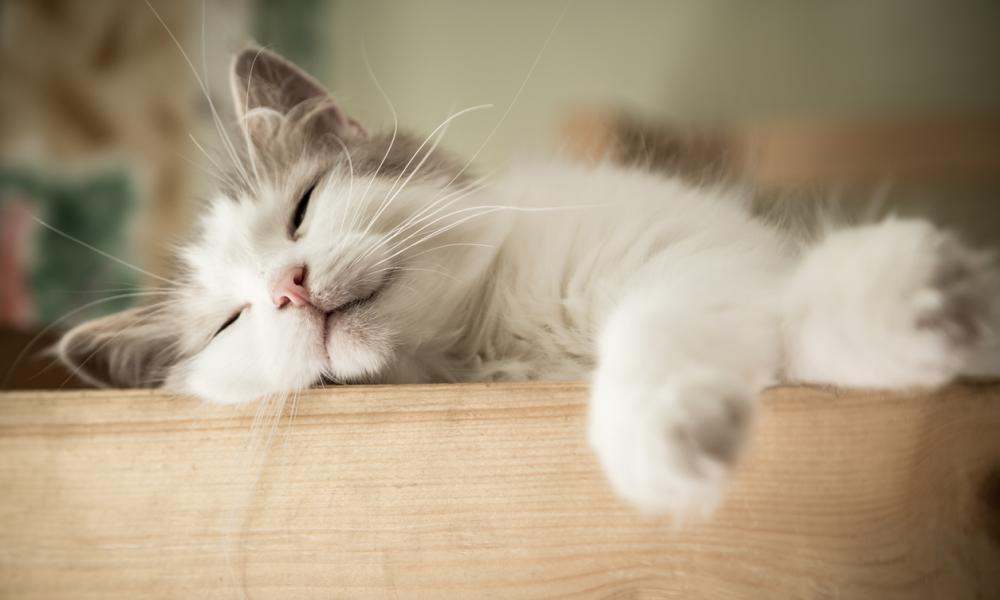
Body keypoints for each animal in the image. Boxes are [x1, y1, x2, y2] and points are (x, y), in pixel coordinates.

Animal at [56, 48, 1000, 516]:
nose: (288, 287)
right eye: (232, 320)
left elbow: (674, 319)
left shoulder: (712, 250)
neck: (489, 341)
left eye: (304, 208)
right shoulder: (729, 271)